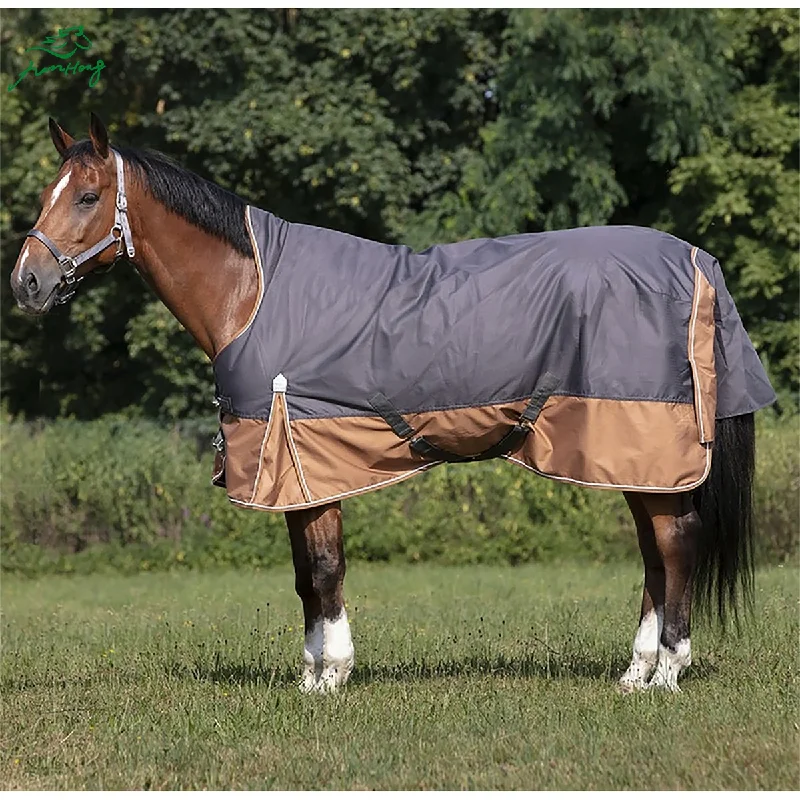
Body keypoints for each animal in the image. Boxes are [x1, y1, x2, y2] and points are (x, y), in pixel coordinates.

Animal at [10, 115, 775, 694]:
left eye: (86, 196)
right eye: (48, 191)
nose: (27, 282)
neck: (251, 292)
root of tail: (693, 260)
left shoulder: (306, 463)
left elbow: (324, 569)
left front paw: (331, 677)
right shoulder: (300, 474)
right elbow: (305, 576)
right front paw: (312, 675)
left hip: (645, 446)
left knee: (674, 545)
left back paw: (666, 672)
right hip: (631, 459)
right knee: (655, 553)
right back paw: (634, 670)